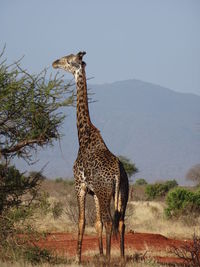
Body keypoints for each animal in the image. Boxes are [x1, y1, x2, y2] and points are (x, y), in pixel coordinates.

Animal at [52, 52, 129, 266]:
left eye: (68, 60)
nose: (54, 63)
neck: (84, 136)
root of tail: (118, 174)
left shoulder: (80, 185)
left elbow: (82, 221)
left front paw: (78, 258)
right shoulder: (93, 192)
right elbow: (97, 223)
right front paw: (100, 254)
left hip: (105, 193)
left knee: (110, 221)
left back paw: (110, 259)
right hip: (122, 195)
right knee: (120, 222)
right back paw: (121, 258)